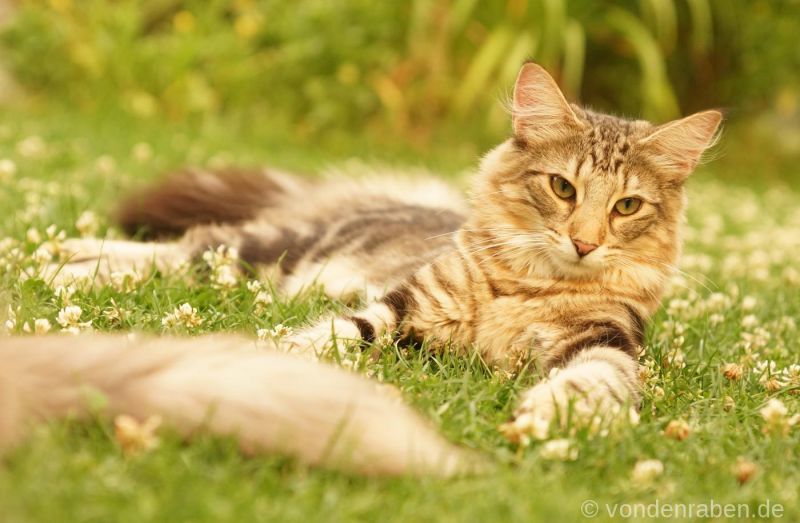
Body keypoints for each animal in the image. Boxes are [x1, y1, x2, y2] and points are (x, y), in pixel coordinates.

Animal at [4, 64, 720, 474]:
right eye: (563, 188)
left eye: (626, 206)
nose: (584, 243)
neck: (530, 284)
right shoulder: (402, 307)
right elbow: (335, 336)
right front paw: (285, 368)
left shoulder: (605, 339)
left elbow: (597, 381)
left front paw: (552, 418)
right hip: (279, 250)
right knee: (193, 247)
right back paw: (69, 260)